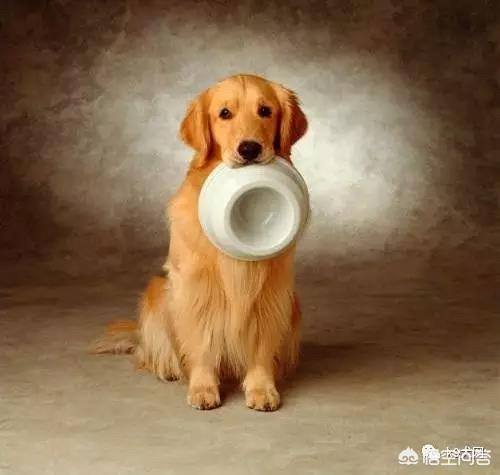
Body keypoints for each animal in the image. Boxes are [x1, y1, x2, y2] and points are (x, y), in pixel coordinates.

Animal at [92, 74, 308, 411]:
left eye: (265, 110)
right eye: (224, 114)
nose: (249, 149)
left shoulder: (270, 292)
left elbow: (261, 347)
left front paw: (262, 389)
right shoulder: (196, 287)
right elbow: (201, 344)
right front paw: (203, 388)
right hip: (157, 291)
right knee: (150, 350)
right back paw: (166, 367)